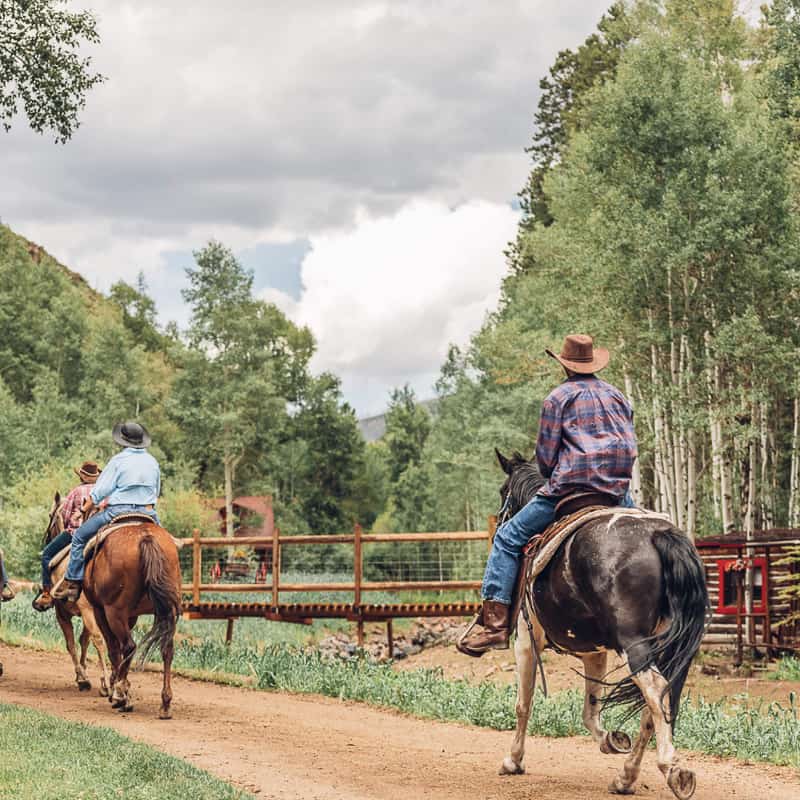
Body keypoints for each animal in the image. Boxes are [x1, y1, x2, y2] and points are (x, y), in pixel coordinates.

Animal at [85, 520, 184, 720]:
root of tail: (146, 537)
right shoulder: (132, 615)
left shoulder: (101, 611)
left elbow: (114, 649)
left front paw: (118, 689)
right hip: (167, 610)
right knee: (167, 650)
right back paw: (165, 704)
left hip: (114, 611)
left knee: (128, 646)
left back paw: (121, 695)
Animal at [496, 450, 708, 800]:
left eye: (503, 491)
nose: (499, 524)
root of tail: (659, 535)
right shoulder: (593, 651)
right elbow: (590, 708)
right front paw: (611, 740)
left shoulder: (526, 638)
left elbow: (522, 703)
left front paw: (513, 760)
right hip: (672, 649)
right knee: (657, 703)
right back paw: (626, 777)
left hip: (633, 644)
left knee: (655, 689)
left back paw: (672, 768)